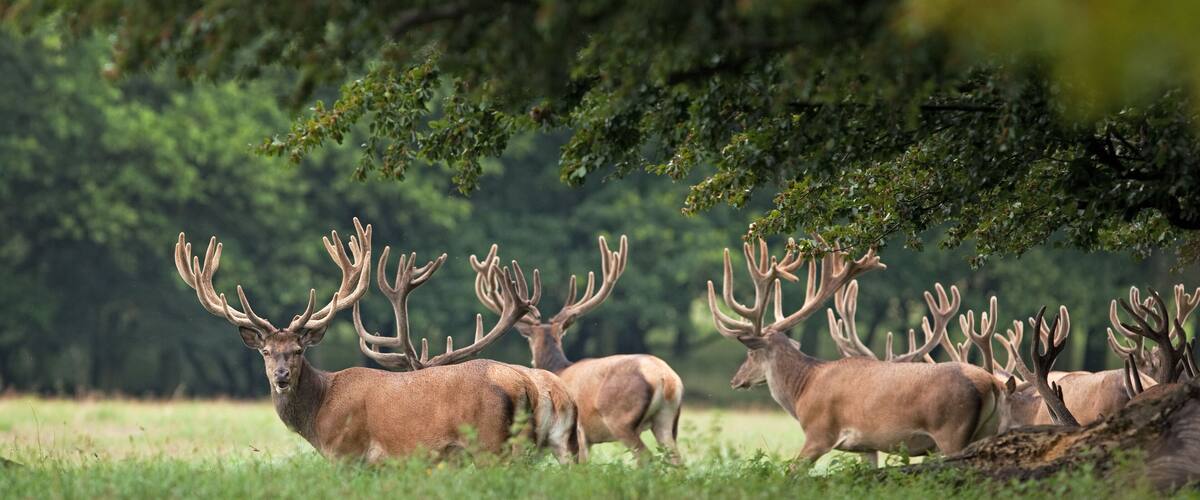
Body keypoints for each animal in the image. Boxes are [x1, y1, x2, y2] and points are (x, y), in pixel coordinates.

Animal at [174, 219, 549, 461]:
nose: (280, 376)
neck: (318, 417)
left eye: (298, 349)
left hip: (489, 442)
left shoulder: (347, 452)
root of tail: (524, 386)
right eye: (265, 351)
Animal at [470, 235, 685, 463]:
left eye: (528, 340)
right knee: (676, 460)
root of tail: (666, 379)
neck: (560, 368)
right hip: (667, 422)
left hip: (621, 419)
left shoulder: (581, 433)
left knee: (646, 457)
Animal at [710, 238, 1011, 468]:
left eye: (751, 354)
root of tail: (992, 383)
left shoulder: (819, 432)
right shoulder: (867, 445)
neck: (802, 391)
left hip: (951, 430)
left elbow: (790, 473)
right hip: (987, 431)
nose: (735, 380)